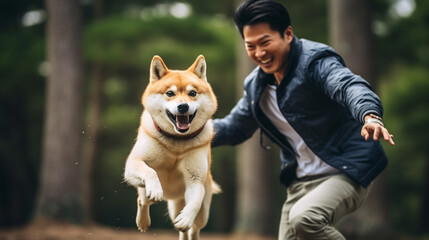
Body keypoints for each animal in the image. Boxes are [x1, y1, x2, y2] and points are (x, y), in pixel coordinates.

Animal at [123, 54, 217, 240]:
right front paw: (155, 189)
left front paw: (186, 218)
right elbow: (150, 172)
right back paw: (143, 220)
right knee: (143, 200)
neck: (176, 142)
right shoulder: (133, 164)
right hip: (168, 204)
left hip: (198, 212)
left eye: (192, 93)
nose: (183, 106)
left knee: (192, 229)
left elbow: (195, 200)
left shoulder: (195, 179)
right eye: (170, 93)